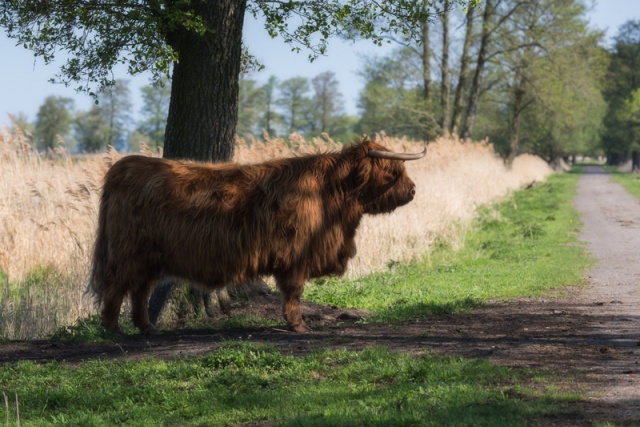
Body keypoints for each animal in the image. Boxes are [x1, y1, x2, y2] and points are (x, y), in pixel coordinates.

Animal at [89, 137, 424, 334]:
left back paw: (147, 328)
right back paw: (114, 330)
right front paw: (298, 325)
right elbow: (294, 291)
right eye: (392, 173)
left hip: (149, 258)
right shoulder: (296, 254)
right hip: (127, 253)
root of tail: (125, 166)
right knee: (116, 288)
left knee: (140, 291)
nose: (412, 190)